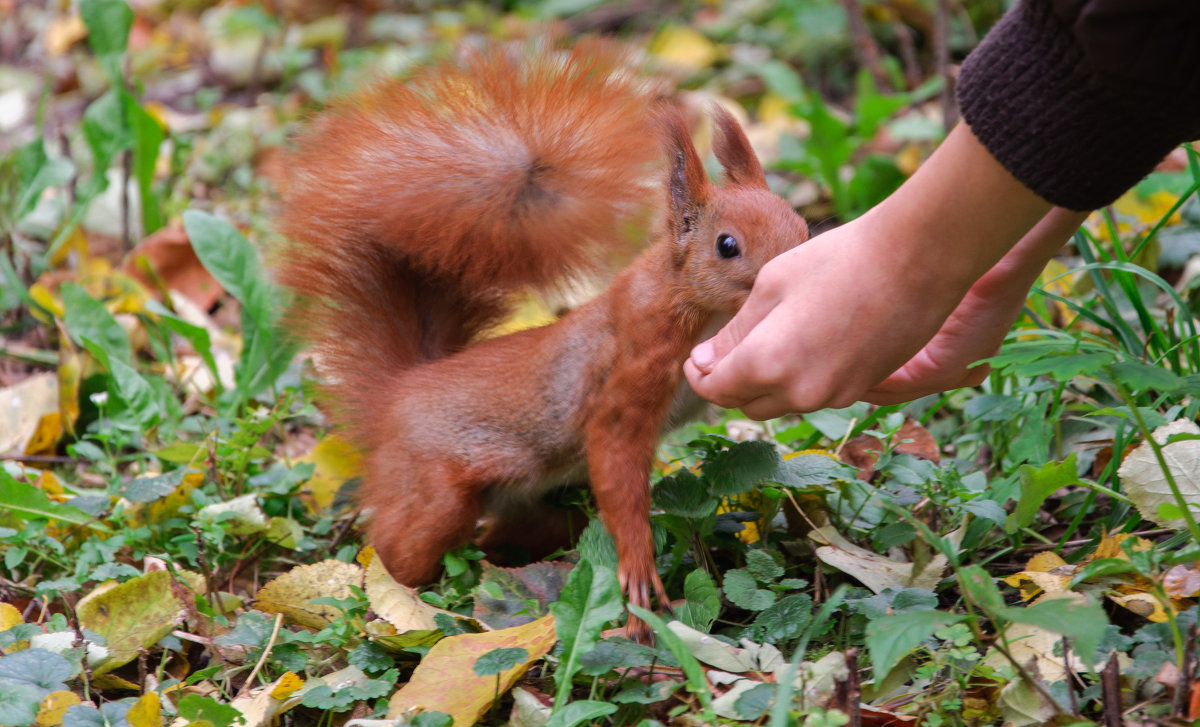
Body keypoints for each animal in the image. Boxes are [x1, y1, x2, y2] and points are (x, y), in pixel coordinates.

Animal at [276, 41, 811, 643]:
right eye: (727, 245)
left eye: (801, 225)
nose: (794, 275)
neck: (699, 308)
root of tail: (397, 393)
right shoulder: (634, 364)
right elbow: (615, 451)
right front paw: (639, 573)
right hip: (431, 494)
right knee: (395, 553)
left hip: (547, 508)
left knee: (510, 539)